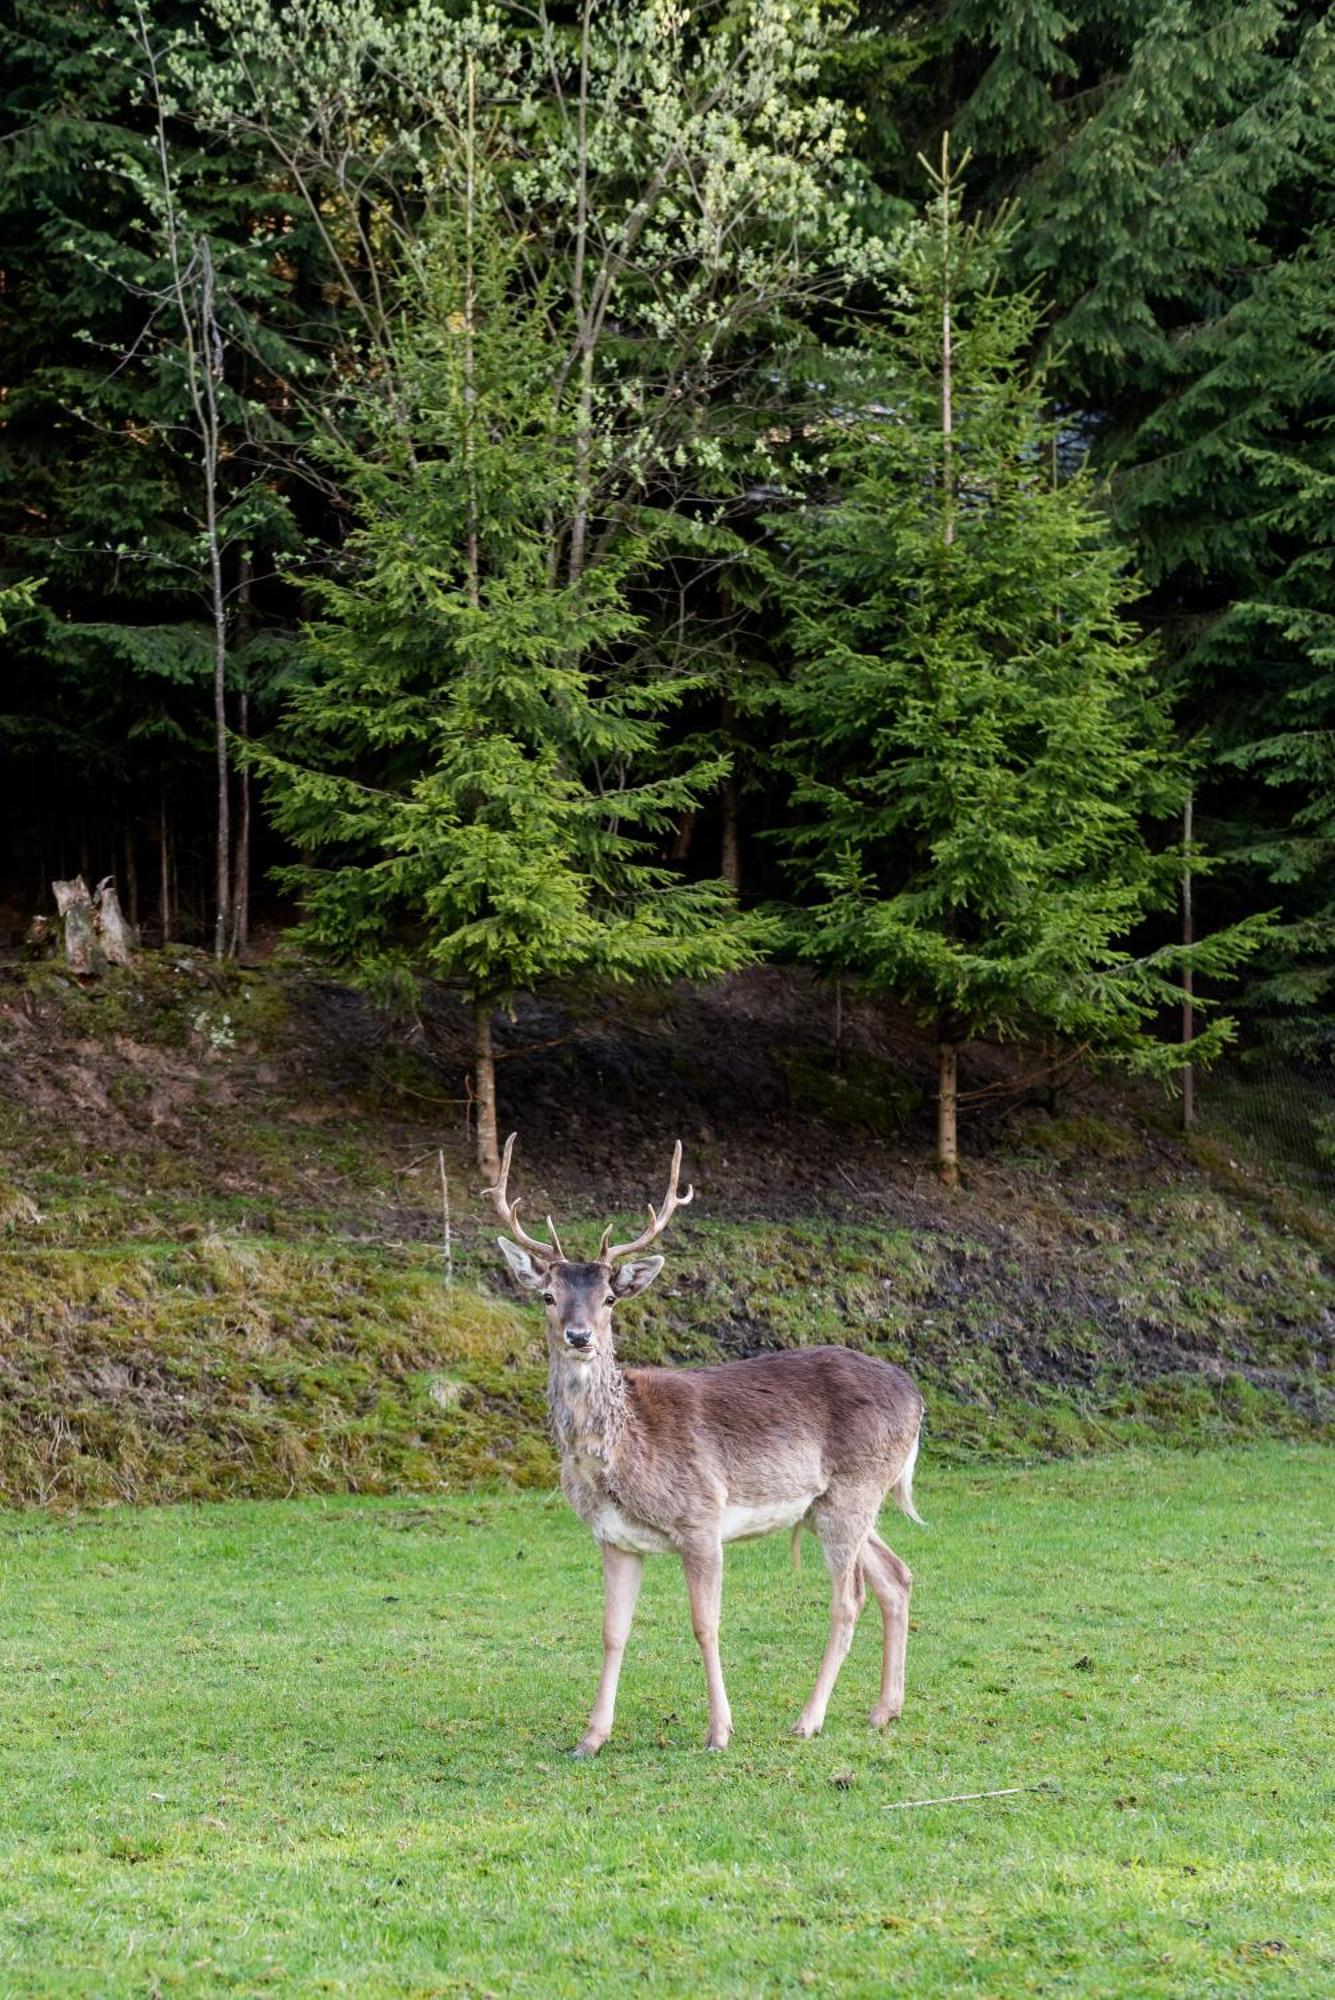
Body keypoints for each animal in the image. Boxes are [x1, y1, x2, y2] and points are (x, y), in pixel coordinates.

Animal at [485, 1136, 923, 1760]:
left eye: (610, 1298)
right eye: (548, 1295)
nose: (579, 1336)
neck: (620, 1458)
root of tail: (916, 1397)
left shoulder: (700, 1518)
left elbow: (704, 1624)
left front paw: (719, 1731)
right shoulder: (614, 1539)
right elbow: (612, 1631)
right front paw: (590, 1738)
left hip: (854, 1490)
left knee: (849, 1599)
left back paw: (808, 1720)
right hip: (831, 1505)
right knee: (896, 1576)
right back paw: (884, 1710)